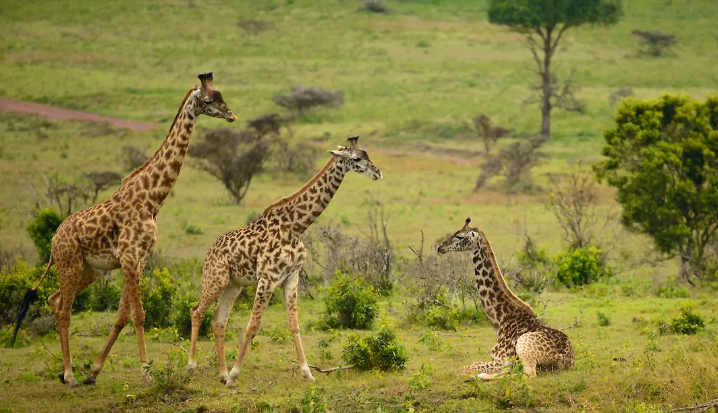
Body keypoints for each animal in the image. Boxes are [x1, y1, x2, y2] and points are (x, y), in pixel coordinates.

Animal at [13, 73, 236, 388]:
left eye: (221, 96)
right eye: (207, 100)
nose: (231, 115)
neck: (152, 198)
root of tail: (55, 238)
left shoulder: (137, 260)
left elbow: (121, 317)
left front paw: (94, 372)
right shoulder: (130, 257)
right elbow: (139, 315)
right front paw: (146, 373)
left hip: (89, 270)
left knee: (55, 300)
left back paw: (67, 372)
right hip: (69, 264)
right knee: (66, 309)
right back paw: (69, 374)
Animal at [185, 136, 382, 387]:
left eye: (367, 155)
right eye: (356, 159)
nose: (377, 172)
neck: (296, 227)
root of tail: (210, 251)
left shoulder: (291, 277)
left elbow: (294, 325)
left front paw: (307, 373)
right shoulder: (267, 279)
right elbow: (252, 326)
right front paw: (235, 375)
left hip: (234, 285)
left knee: (218, 321)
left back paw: (221, 374)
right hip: (215, 278)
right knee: (196, 311)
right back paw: (192, 367)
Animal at [437, 218, 574, 380]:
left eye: (460, 237)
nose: (441, 247)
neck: (501, 319)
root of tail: (567, 359)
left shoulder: (500, 360)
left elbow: (461, 369)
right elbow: (469, 365)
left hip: (524, 346)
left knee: (528, 374)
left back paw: (481, 376)